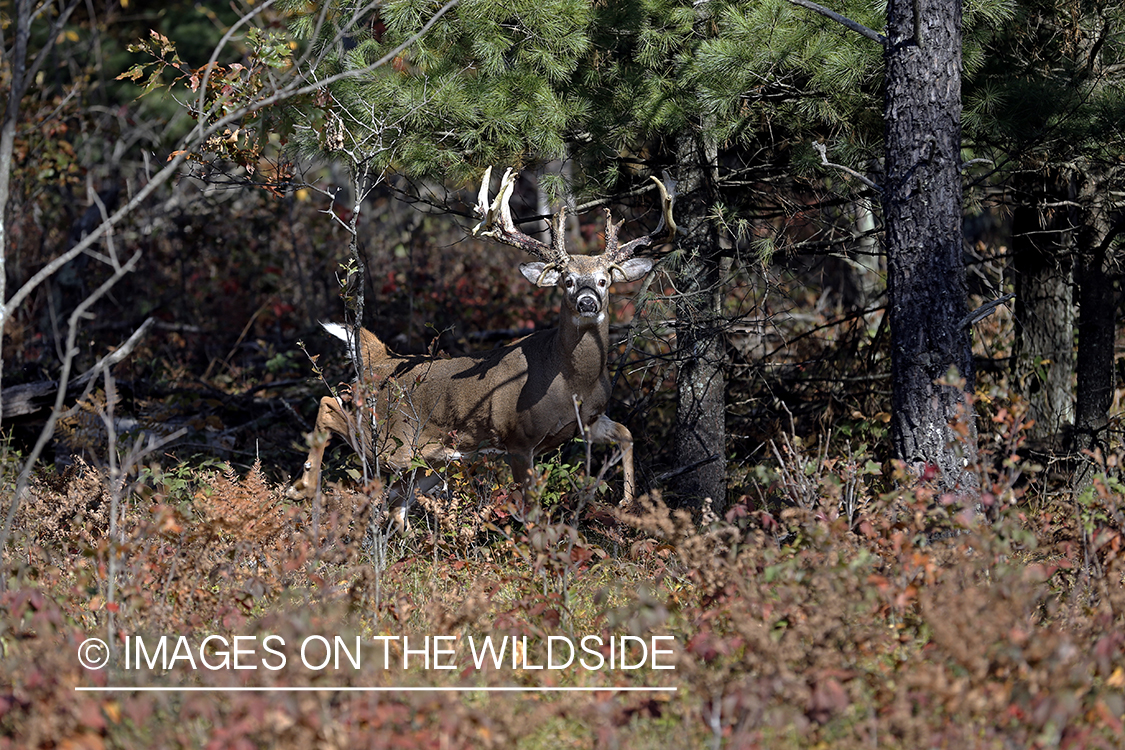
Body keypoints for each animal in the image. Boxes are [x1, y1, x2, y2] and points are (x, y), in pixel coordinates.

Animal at [290, 167, 675, 530]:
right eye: (567, 280)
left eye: (604, 280)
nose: (586, 302)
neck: (573, 384)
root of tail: (380, 358)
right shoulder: (519, 438)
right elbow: (530, 507)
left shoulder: (586, 423)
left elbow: (626, 435)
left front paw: (627, 501)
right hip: (385, 436)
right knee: (329, 406)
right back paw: (303, 485)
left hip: (429, 457)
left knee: (396, 499)